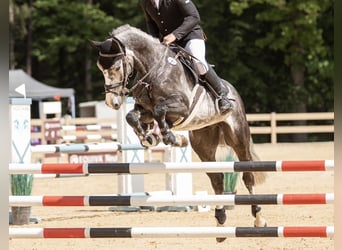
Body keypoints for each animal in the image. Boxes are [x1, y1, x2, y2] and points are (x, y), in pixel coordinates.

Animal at [90, 24, 268, 241]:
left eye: (116, 68)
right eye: (101, 69)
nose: (112, 102)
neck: (154, 70)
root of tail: (233, 90)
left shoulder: (181, 107)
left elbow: (160, 111)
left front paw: (169, 137)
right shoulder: (146, 110)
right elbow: (132, 116)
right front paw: (148, 137)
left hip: (238, 137)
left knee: (247, 175)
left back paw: (258, 218)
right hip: (203, 144)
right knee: (217, 180)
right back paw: (220, 223)